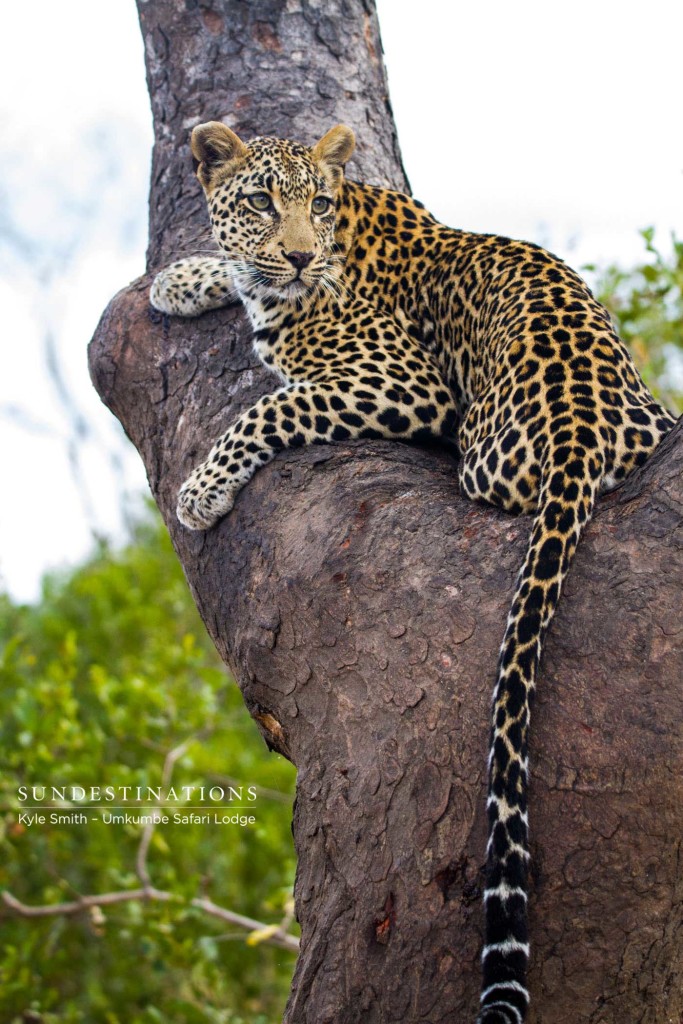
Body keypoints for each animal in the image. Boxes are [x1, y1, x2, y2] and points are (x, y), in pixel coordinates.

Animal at [150, 121, 679, 1024]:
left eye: (317, 204)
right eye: (262, 201)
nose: (300, 255)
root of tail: (579, 432)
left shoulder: (403, 383)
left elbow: (272, 400)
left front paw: (201, 490)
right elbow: (238, 268)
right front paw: (182, 280)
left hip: (470, 446)